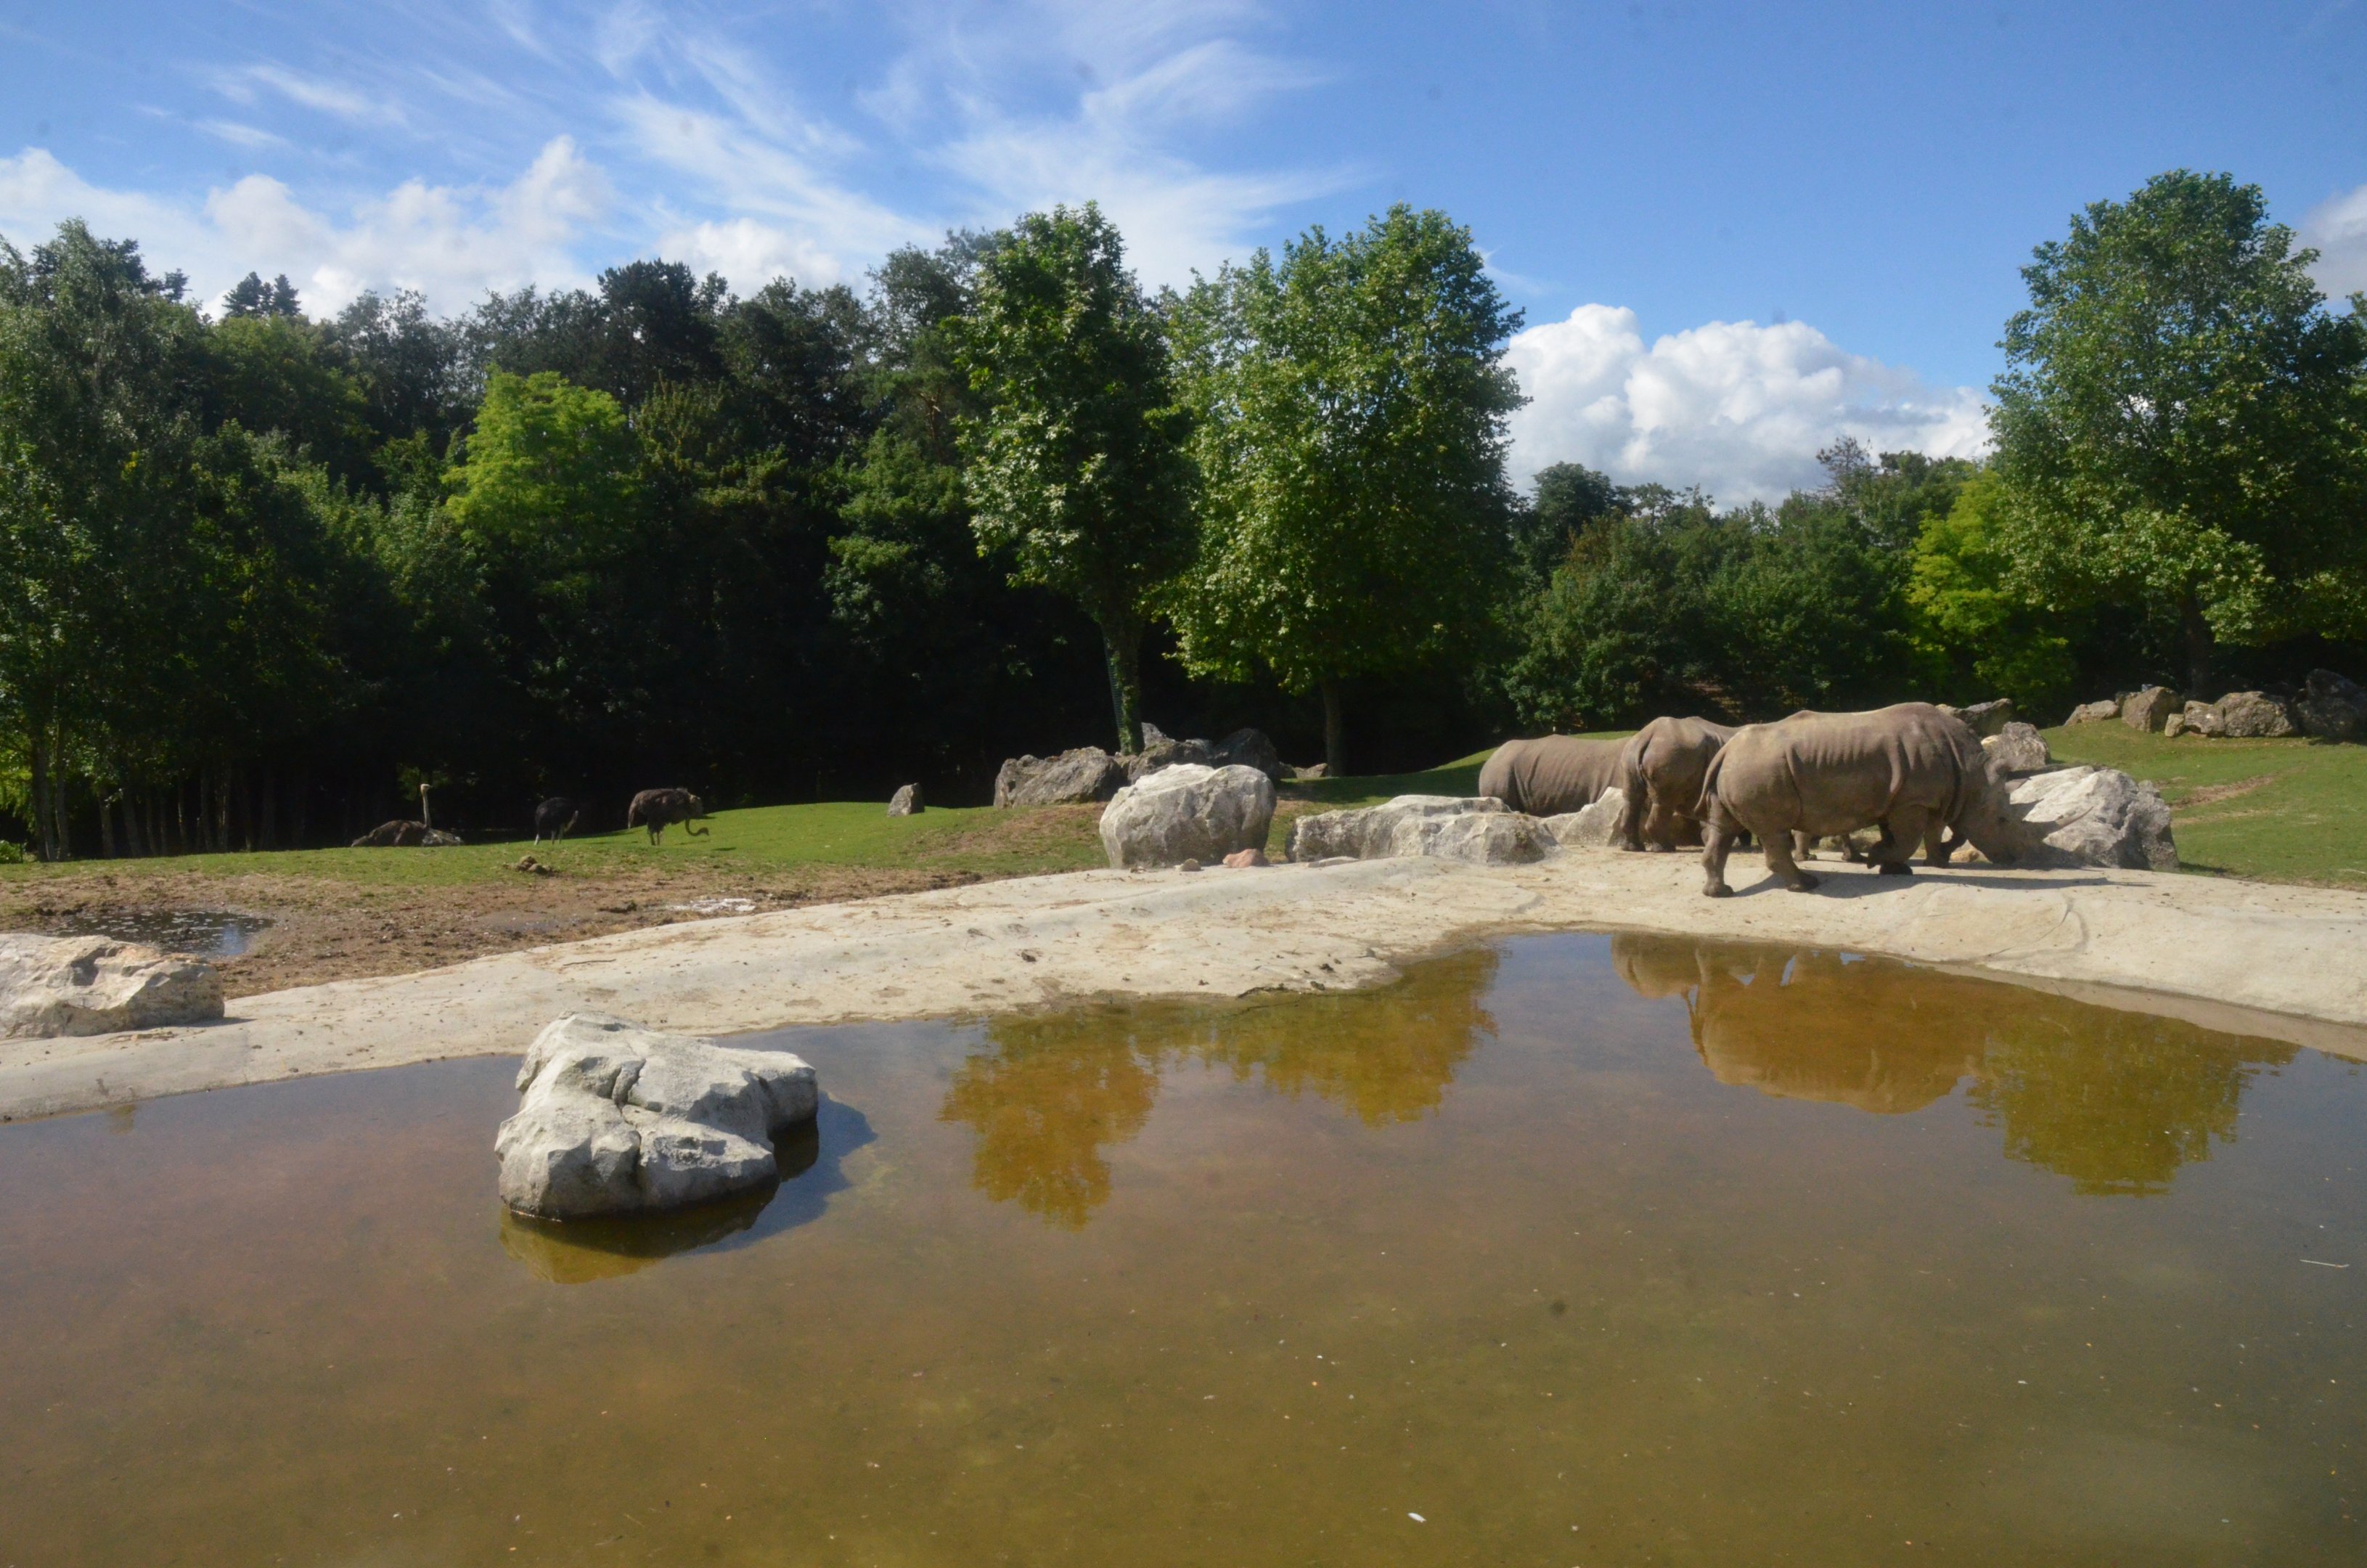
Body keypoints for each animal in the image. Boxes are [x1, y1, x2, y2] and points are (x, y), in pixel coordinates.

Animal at [1615, 717, 1736, 851]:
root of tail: (1649, 735)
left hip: (1632, 752)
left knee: (1632, 798)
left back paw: (1633, 848)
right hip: (1670, 753)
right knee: (1665, 801)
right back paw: (1667, 849)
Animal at [1694, 702, 2020, 897]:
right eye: (2002, 820)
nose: (2013, 859)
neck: (1971, 772)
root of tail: (1727, 748)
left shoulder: (1901, 798)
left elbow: (1904, 837)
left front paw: (1896, 869)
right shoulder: (1913, 800)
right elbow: (1908, 839)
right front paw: (1875, 859)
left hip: (1742, 767)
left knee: (1724, 828)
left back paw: (1720, 893)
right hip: (1759, 768)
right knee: (1773, 831)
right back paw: (1806, 885)